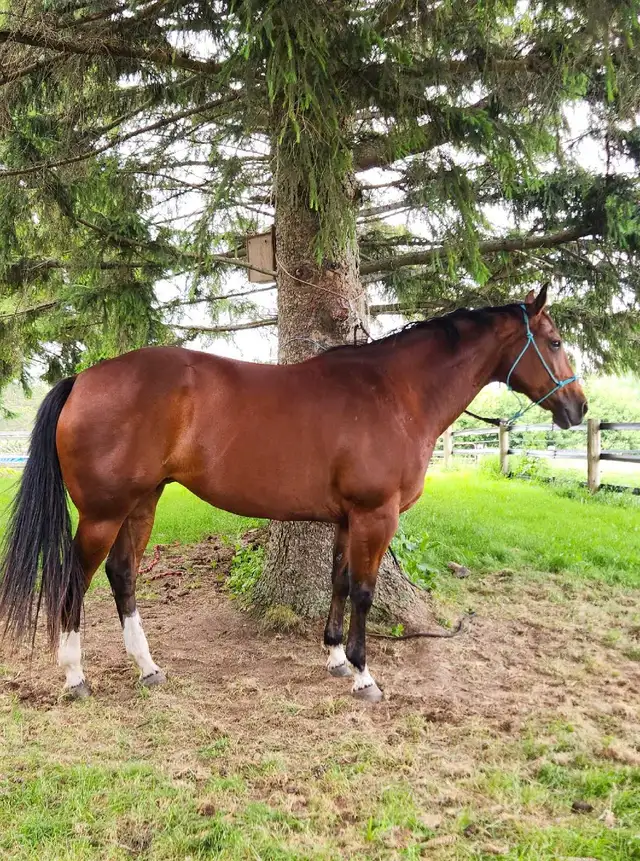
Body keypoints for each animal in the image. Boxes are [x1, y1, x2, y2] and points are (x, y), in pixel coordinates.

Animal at [0, 286, 587, 702]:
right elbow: (365, 592)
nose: (578, 407)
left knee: (123, 575)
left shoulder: (349, 518)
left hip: (141, 504)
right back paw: (75, 676)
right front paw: (364, 675)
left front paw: (335, 659)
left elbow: (341, 582)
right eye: (555, 342)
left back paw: (148, 668)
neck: (394, 393)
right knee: (75, 581)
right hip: (103, 512)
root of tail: (83, 379)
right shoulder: (376, 516)